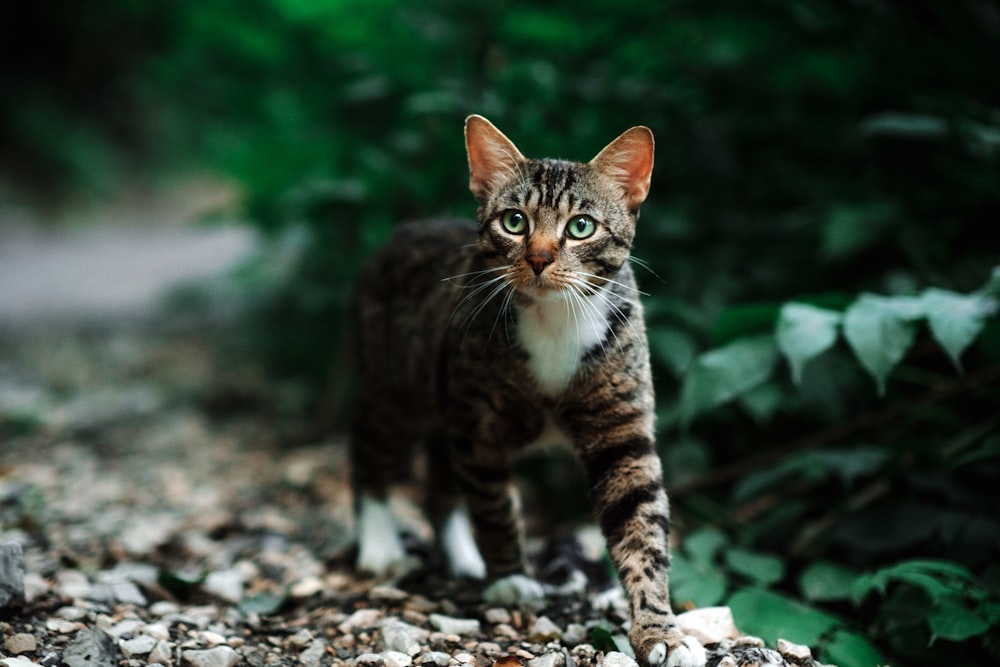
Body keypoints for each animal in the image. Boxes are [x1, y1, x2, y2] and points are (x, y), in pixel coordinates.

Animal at [348, 116, 708, 667]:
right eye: (514, 221)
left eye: (581, 226)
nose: (538, 257)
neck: (556, 319)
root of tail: (404, 230)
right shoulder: (478, 425)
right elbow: (494, 504)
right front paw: (512, 579)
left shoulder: (622, 429)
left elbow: (642, 524)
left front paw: (660, 630)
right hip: (399, 388)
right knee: (372, 450)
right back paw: (380, 545)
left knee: (442, 483)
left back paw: (464, 559)